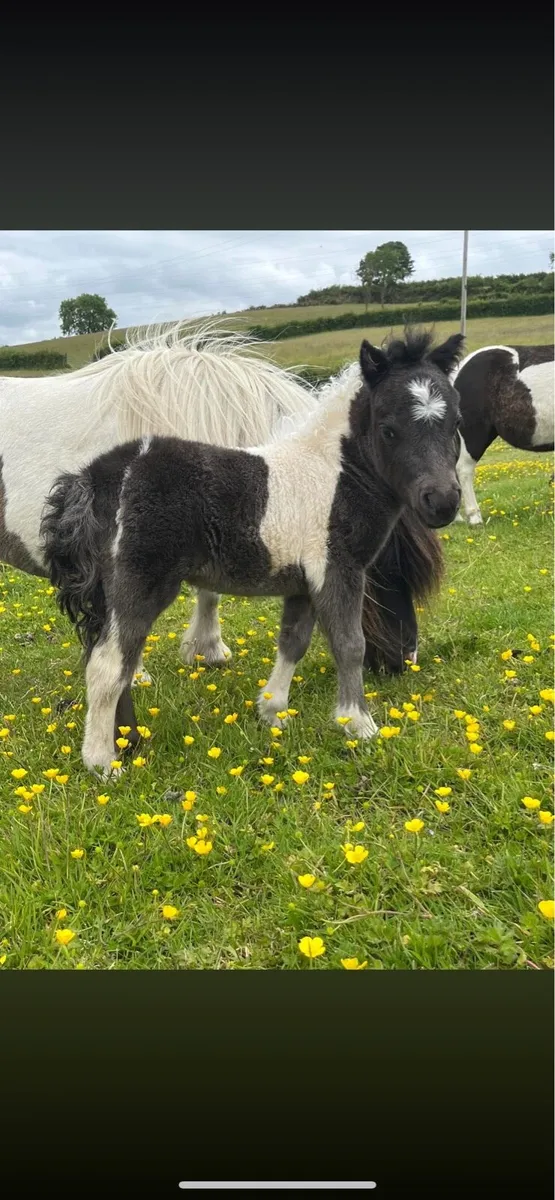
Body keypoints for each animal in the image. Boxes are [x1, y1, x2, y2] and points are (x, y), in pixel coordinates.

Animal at [40, 329, 463, 778]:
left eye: (456, 422)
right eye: (388, 429)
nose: (442, 502)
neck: (333, 473)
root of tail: (95, 478)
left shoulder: (302, 582)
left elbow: (293, 641)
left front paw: (272, 710)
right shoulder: (339, 569)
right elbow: (350, 644)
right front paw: (357, 724)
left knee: (112, 660)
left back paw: (127, 740)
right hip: (139, 584)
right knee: (108, 665)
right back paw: (103, 761)